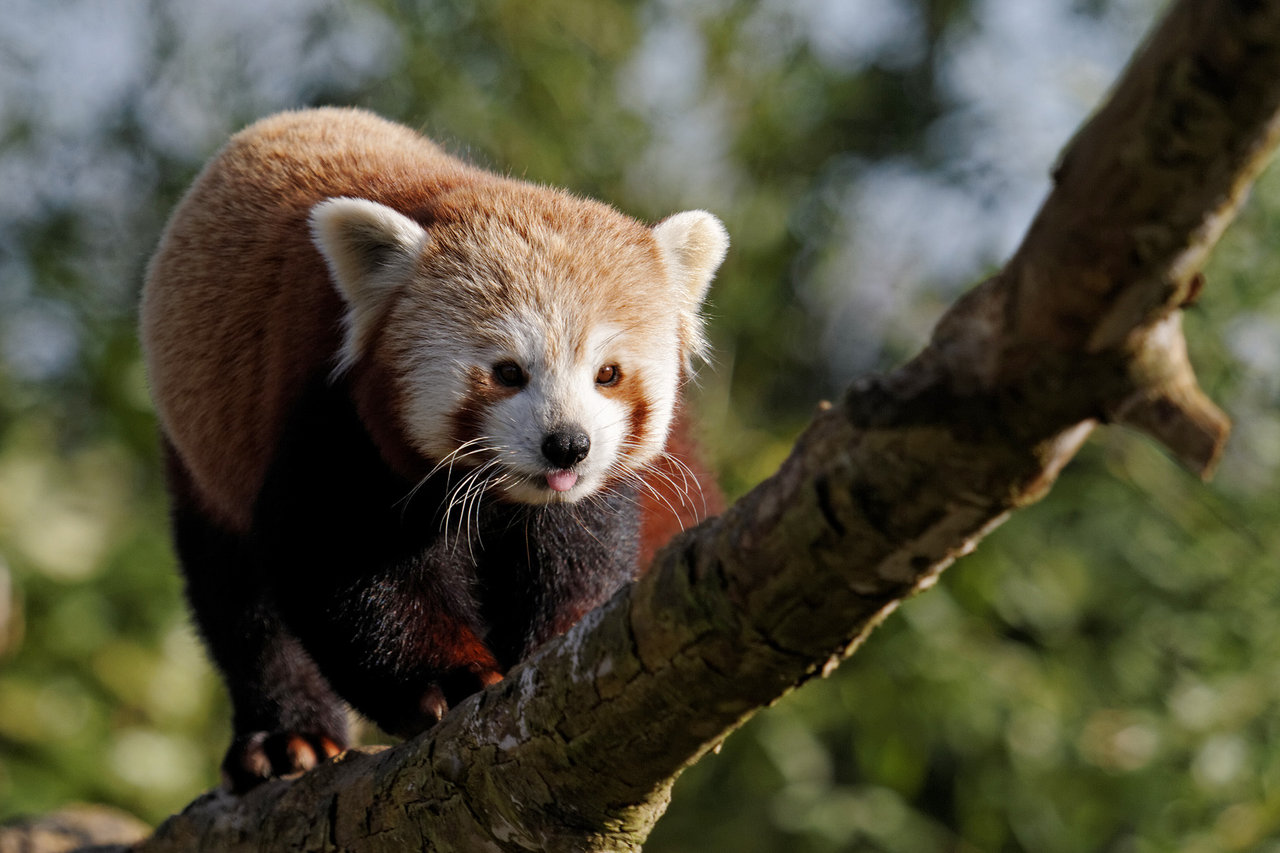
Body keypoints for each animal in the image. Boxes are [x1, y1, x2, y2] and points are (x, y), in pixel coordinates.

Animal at [141, 108, 732, 788]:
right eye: (508, 372)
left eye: (607, 375)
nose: (567, 446)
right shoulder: (331, 415)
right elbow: (344, 566)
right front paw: (449, 681)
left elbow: (577, 552)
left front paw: (556, 649)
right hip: (205, 450)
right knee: (240, 601)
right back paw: (289, 737)